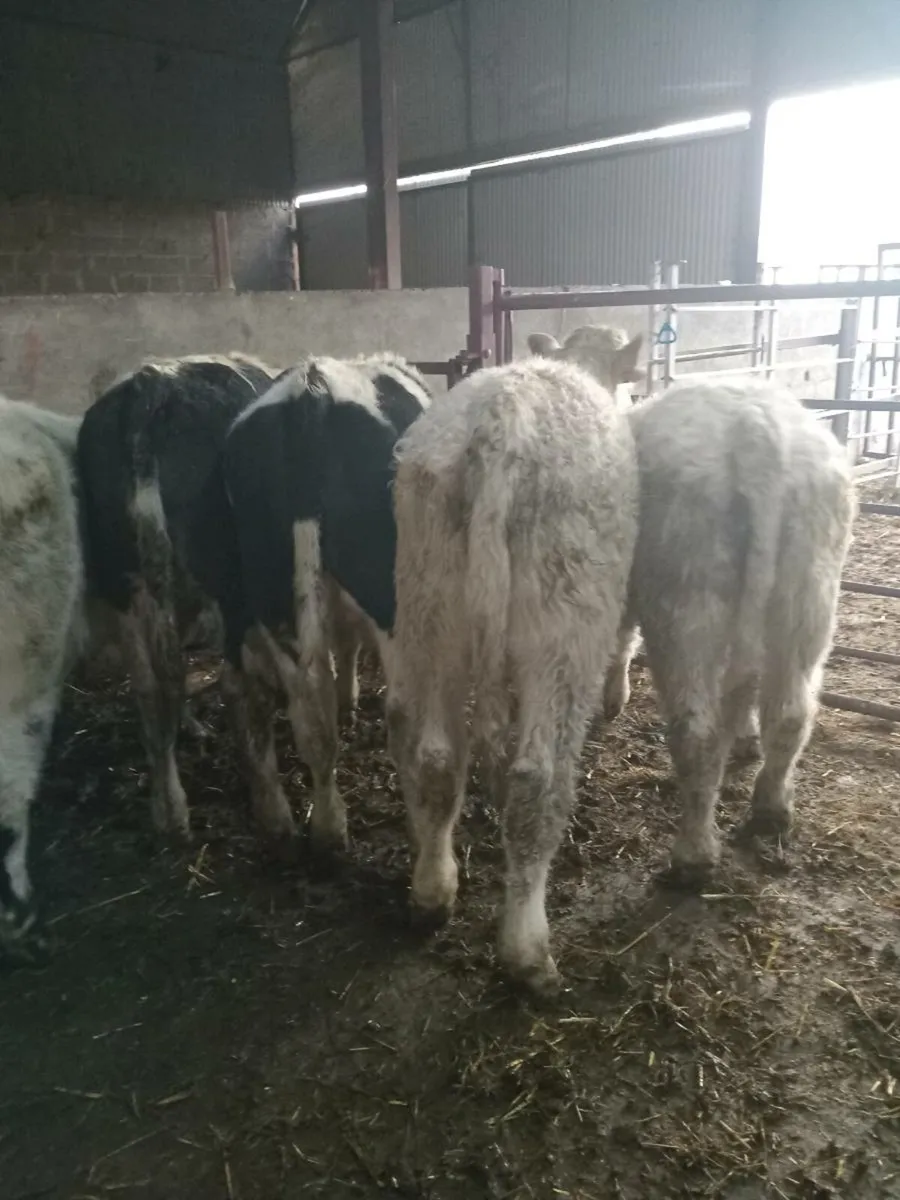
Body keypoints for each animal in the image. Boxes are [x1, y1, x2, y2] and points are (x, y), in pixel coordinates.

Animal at [385, 357, 638, 995]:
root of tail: (504, 418)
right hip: (562, 628)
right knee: (534, 781)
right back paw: (527, 951)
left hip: (431, 608)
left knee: (437, 760)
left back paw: (433, 891)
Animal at [528, 328, 856, 884]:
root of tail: (756, 430)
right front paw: (744, 738)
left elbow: (620, 641)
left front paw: (612, 699)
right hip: (807, 593)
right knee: (789, 711)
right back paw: (771, 808)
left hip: (687, 601)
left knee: (696, 731)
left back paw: (693, 855)